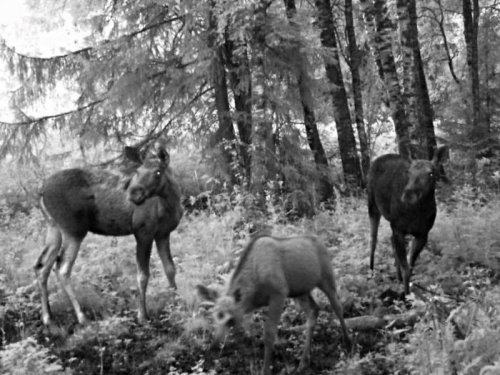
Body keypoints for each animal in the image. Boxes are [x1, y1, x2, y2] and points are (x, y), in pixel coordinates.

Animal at [35, 142, 184, 328]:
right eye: (137, 171)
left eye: (157, 172)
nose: (133, 193)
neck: (170, 204)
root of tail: (41, 191)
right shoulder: (143, 232)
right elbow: (143, 275)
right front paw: (142, 316)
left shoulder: (163, 233)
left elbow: (170, 269)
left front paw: (176, 305)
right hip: (73, 229)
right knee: (61, 267)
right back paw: (81, 317)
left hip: (53, 227)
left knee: (41, 266)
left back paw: (47, 317)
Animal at [196, 235, 352, 375]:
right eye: (214, 317)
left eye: (230, 320)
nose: (214, 346)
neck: (255, 291)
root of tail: (322, 243)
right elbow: (252, 332)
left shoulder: (279, 293)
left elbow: (269, 333)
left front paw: (266, 370)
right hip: (300, 291)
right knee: (314, 310)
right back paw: (303, 362)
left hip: (327, 279)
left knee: (338, 307)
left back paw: (348, 344)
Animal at [368, 147, 450, 296]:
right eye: (408, 172)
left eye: (431, 173)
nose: (408, 195)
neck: (418, 212)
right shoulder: (399, 230)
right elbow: (406, 268)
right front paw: (406, 297)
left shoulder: (422, 234)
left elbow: (410, 267)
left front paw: (409, 292)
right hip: (372, 205)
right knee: (373, 239)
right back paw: (371, 272)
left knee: (390, 240)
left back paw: (398, 277)